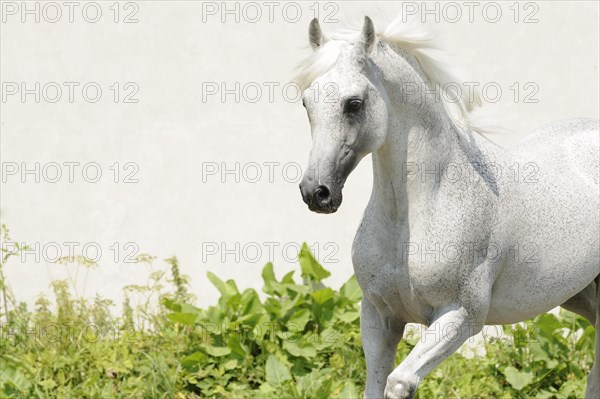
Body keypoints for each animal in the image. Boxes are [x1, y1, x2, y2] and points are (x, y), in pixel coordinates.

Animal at [296, 14, 600, 396]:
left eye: (353, 103)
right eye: (306, 102)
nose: (316, 192)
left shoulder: (460, 318)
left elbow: (400, 382)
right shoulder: (379, 317)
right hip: (581, 296)